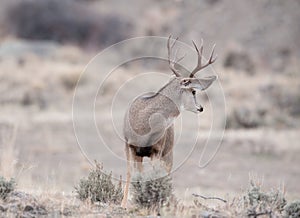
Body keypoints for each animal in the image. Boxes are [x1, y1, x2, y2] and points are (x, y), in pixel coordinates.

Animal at [120, 36, 217, 208]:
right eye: (193, 91)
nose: (201, 108)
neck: (143, 125)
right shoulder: (129, 145)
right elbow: (131, 172)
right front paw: (124, 203)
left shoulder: (157, 150)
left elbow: (155, 175)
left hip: (168, 151)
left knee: (167, 174)